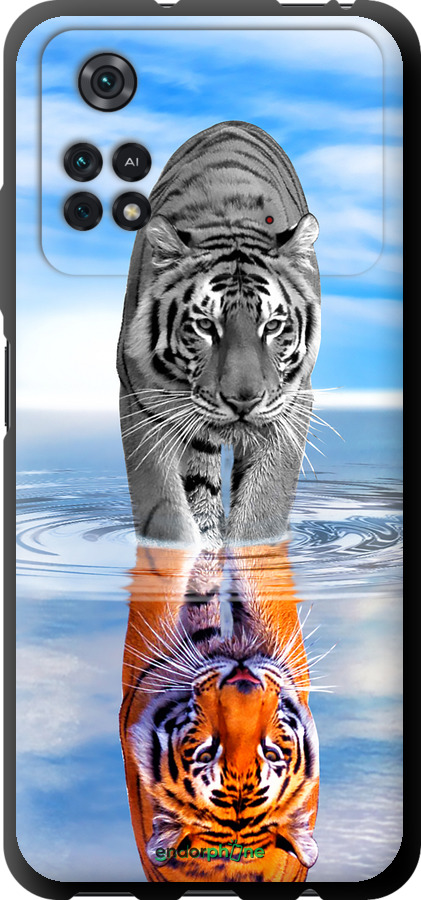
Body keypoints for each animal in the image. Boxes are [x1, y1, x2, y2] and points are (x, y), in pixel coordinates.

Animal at [117, 121, 321, 548]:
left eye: (272, 326)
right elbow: (165, 511)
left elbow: (262, 509)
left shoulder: (292, 404)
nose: (244, 401)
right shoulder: (141, 401)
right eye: (205, 326)